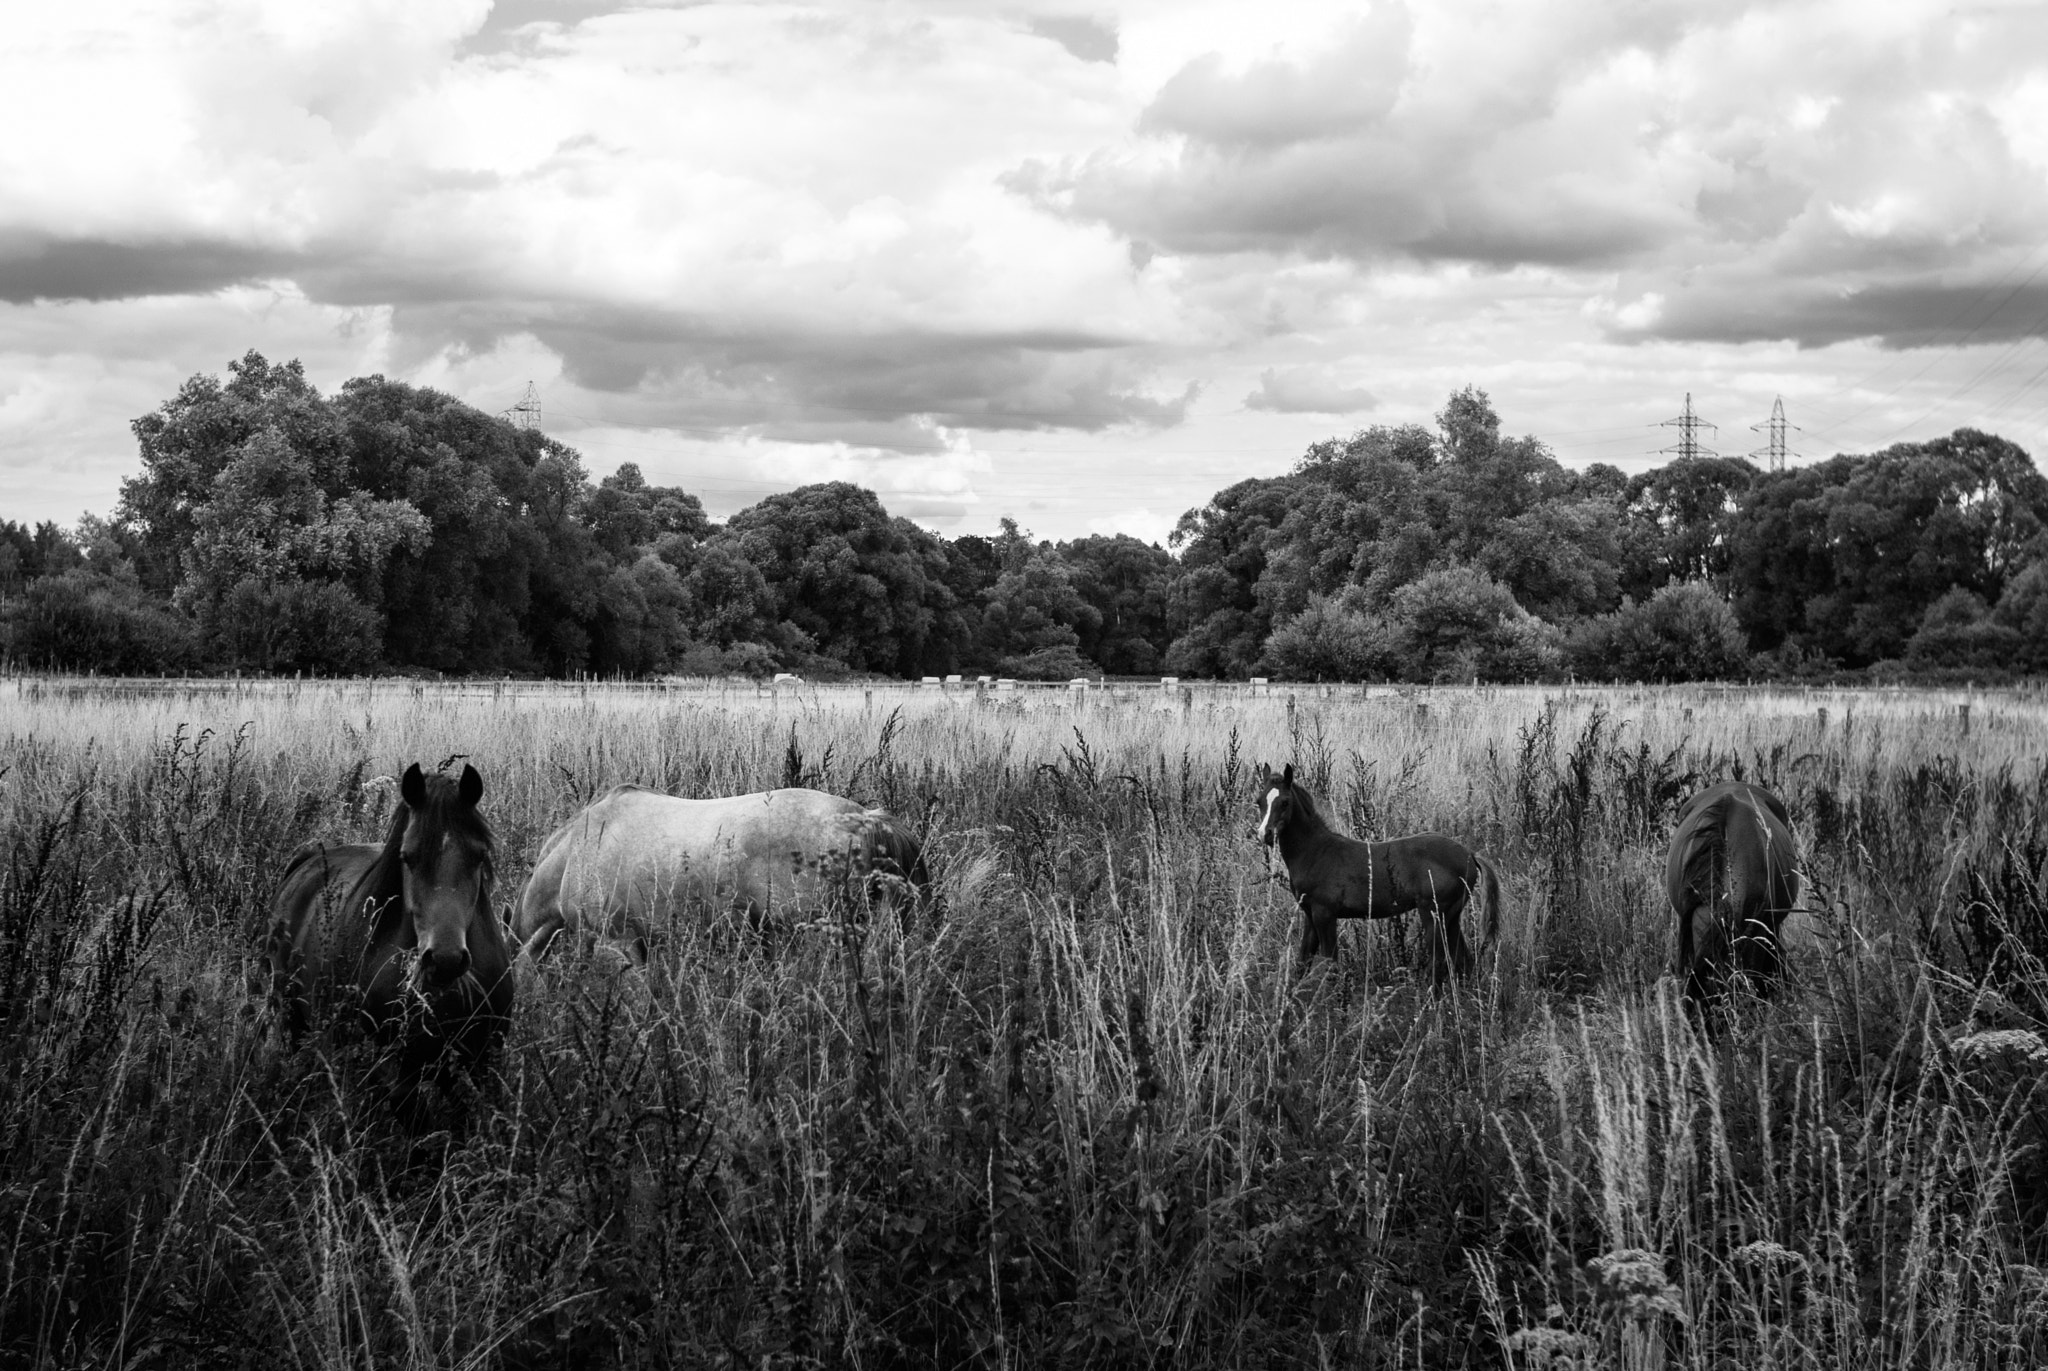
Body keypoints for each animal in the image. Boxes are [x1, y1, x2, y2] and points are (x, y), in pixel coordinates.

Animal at [266, 758, 512, 1123]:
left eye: (479, 855)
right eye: (407, 856)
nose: (446, 960)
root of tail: (305, 862)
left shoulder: (480, 1069)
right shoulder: (402, 1078)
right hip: (293, 1017)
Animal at [1245, 758, 1507, 983]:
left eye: (1285, 802)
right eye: (1259, 801)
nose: (1264, 834)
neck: (1316, 852)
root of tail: (1470, 855)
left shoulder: (1324, 914)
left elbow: (1331, 965)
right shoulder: (1309, 914)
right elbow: (1302, 962)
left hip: (1434, 913)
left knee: (1440, 962)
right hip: (1451, 916)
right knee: (1465, 961)